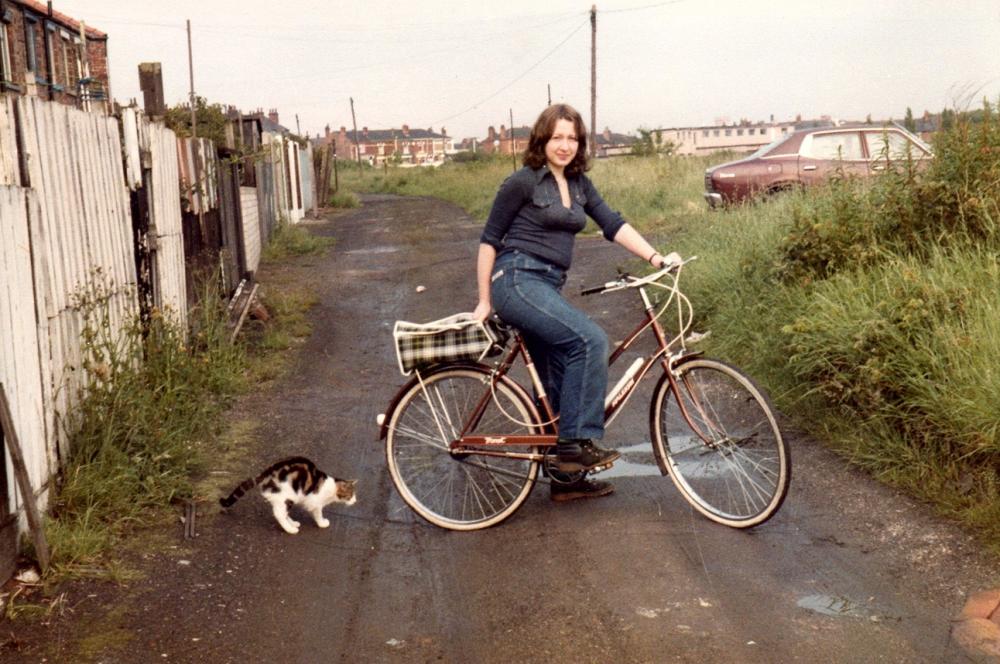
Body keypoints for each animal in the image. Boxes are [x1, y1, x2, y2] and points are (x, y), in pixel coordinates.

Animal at [219, 456, 356, 536]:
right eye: (350, 495)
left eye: (354, 495)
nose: (355, 501)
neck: (331, 487)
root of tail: (265, 474)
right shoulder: (315, 502)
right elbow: (318, 514)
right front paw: (322, 523)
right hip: (287, 496)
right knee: (279, 514)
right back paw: (290, 529)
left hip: (282, 498)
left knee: (281, 513)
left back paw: (293, 523)